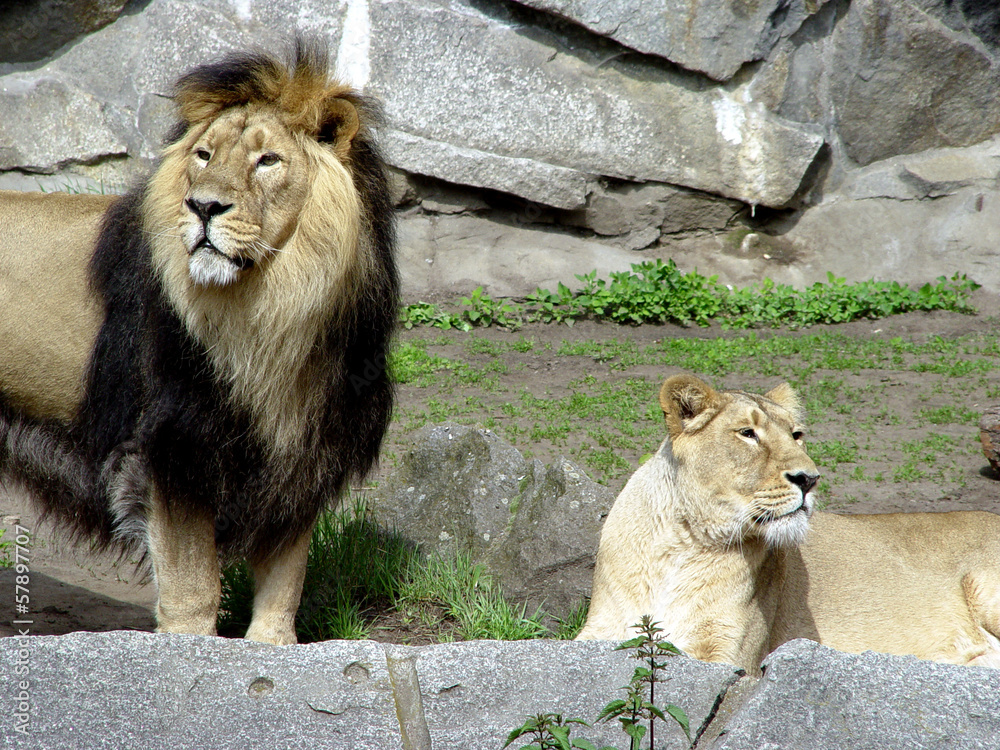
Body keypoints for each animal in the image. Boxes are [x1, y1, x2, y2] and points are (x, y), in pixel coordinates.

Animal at [0, 42, 397, 645]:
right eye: (205, 156)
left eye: (268, 161)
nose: (203, 206)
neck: (273, 320)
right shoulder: (172, 449)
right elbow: (193, 588)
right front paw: (191, 653)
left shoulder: (303, 452)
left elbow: (285, 581)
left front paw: (274, 647)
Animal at [577, 374, 1000, 672]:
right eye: (748, 434)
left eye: (796, 435)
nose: (809, 479)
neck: (682, 543)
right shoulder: (599, 631)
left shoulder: (729, 654)